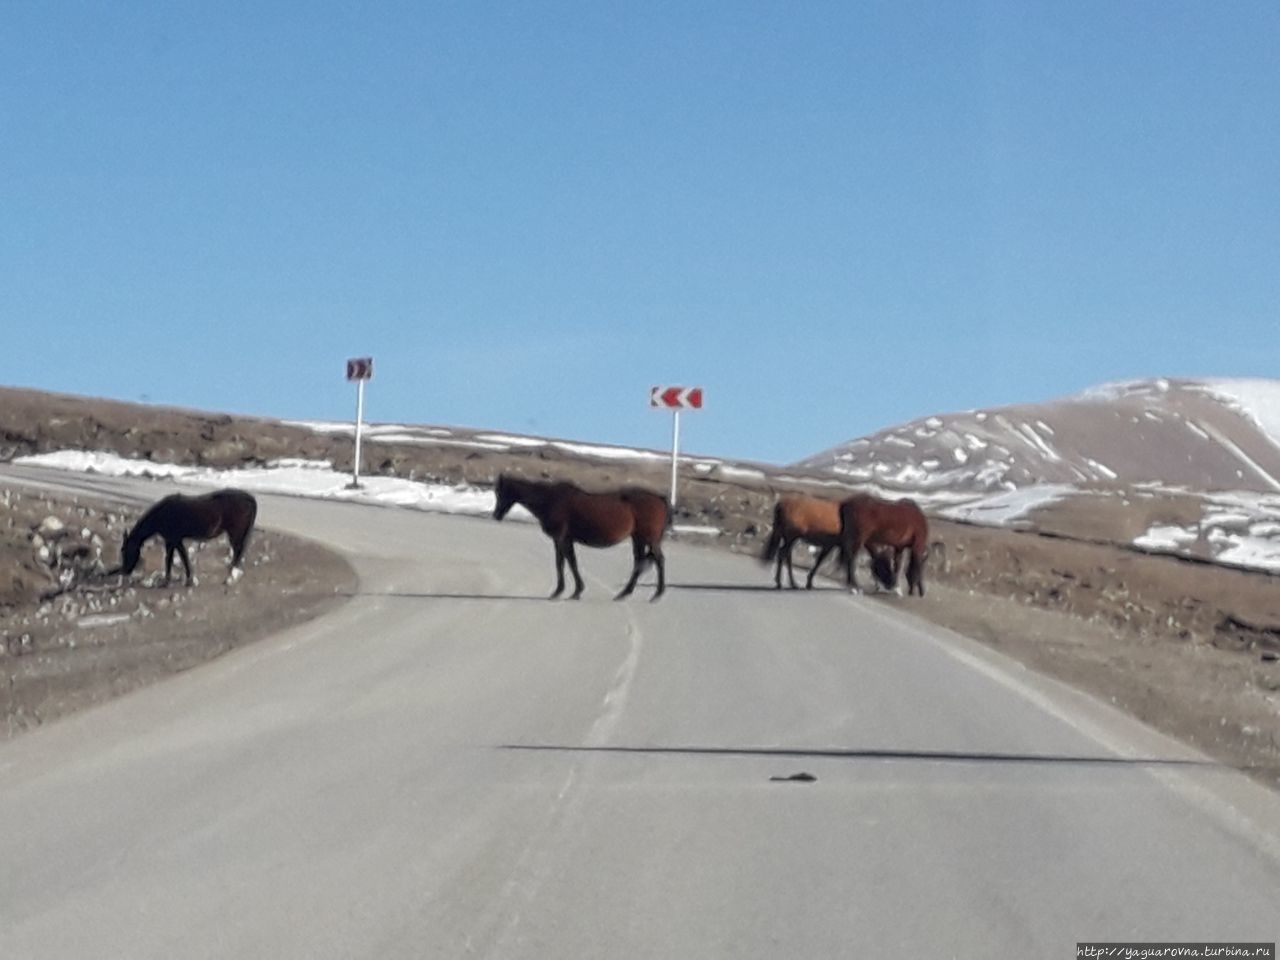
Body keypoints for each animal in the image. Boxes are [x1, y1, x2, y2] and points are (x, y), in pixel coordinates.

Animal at [119, 488, 258, 586]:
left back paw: (230, 576)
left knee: (237, 551)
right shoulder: (173, 541)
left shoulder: (173, 540)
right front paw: (185, 579)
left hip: (235, 532)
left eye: (126, 551)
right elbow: (179, 558)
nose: (125, 570)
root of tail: (250, 498)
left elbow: (175, 559)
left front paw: (171, 581)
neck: (162, 514)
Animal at [488, 473, 670, 601]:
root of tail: (660, 500)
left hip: (649, 538)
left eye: (500, 492)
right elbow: (568, 562)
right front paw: (572, 590)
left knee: (659, 560)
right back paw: (624, 593)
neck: (550, 499)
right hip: (638, 538)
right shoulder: (565, 540)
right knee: (639, 562)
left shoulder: (560, 538)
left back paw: (657, 594)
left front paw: (564, 591)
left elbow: (563, 563)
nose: (496, 515)